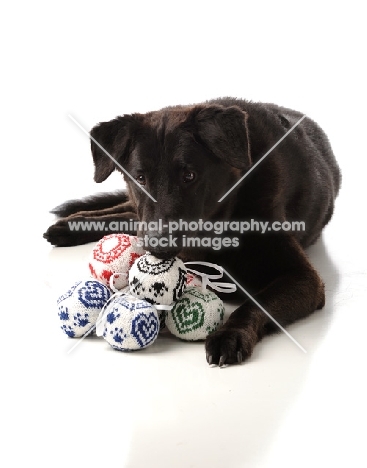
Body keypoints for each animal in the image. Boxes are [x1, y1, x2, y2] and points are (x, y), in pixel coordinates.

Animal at [45, 98, 342, 366]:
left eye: (189, 176)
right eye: (140, 178)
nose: (158, 244)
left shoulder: (304, 278)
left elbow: (255, 303)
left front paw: (230, 334)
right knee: (127, 210)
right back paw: (70, 224)